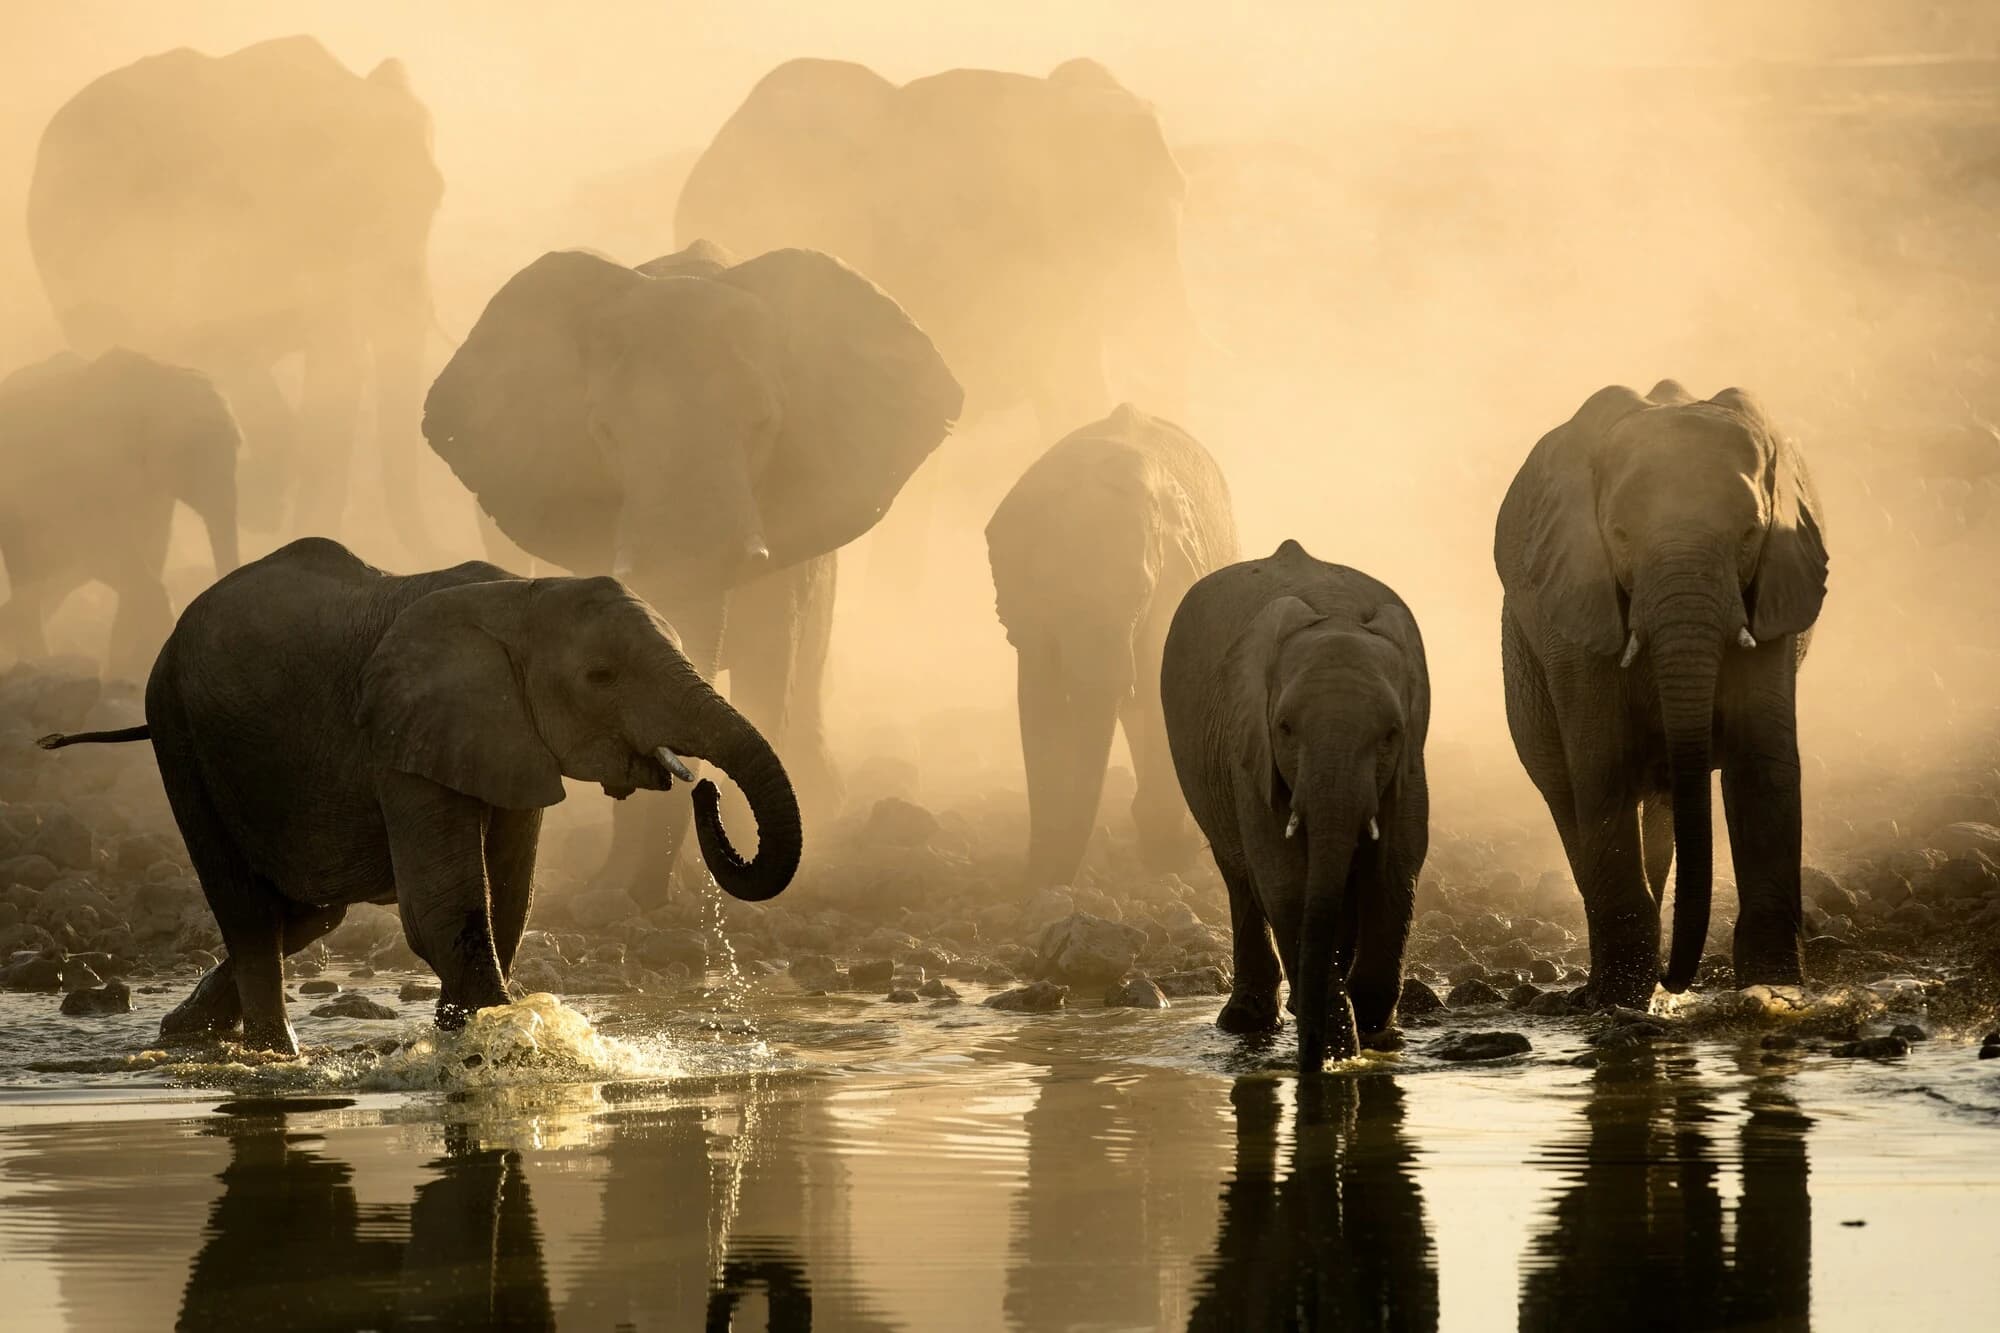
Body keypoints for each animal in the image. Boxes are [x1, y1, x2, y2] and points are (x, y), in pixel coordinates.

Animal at [0, 349, 240, 679]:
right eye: (194, 453)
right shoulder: (93, 470)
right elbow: (106, 554)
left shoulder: (152, 492)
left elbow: (151, 551)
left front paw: (125, 673)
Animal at [36, 537, 799, 1054]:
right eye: (602, 675)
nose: (706, 788)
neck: (523, 594)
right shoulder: (403, 738)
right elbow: (444, 913)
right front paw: (505, 1042)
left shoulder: (506, 740)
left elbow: (508, 903)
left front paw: (468, 1036)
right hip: (179, 731)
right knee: (251, 911)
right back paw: (275, 1056)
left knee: (307, 913)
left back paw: (182, 1032)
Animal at [986, 403, 1237, 888]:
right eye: (1052, 593)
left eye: (1139, 594)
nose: (1049, 880)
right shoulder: (1029, 613)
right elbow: (1039, 701)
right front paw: (1040, 874)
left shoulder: (1171, 586)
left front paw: (1168, 856)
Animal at [1161, 540, 1431, 1071]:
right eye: (1285, 728)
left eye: (1390, 733)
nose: (1309, 1062)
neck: (1335, 613)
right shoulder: (1250, 749)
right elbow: (1283, 877)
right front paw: (1335, 1050)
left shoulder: (1411, 759)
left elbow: (1397, 865)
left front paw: (1376, 1037)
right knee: (1240, 874)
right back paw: (1248, 1021)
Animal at [1495, 381, 1828, 1007]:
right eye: (1621, 536)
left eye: (1750, 534)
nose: (1679, 977)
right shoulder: (1577, 602)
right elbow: (1601, 764)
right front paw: (1619, 1002)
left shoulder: (1773, 590)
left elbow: (1762, 762)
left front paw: (1775, 993)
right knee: (1563, 789)